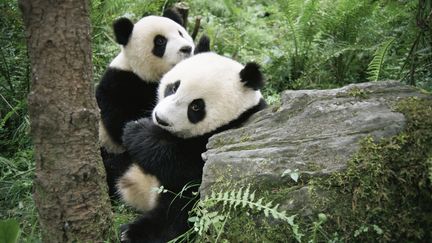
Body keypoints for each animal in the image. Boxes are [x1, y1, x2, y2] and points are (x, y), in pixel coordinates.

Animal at [118, 52, 266, 242]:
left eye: (196, 106)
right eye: (173, 87)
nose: (160, 118)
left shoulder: (231, 135)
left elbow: (186, 165)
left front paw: (136, 130)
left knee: (178, 212)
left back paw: (132, 233)